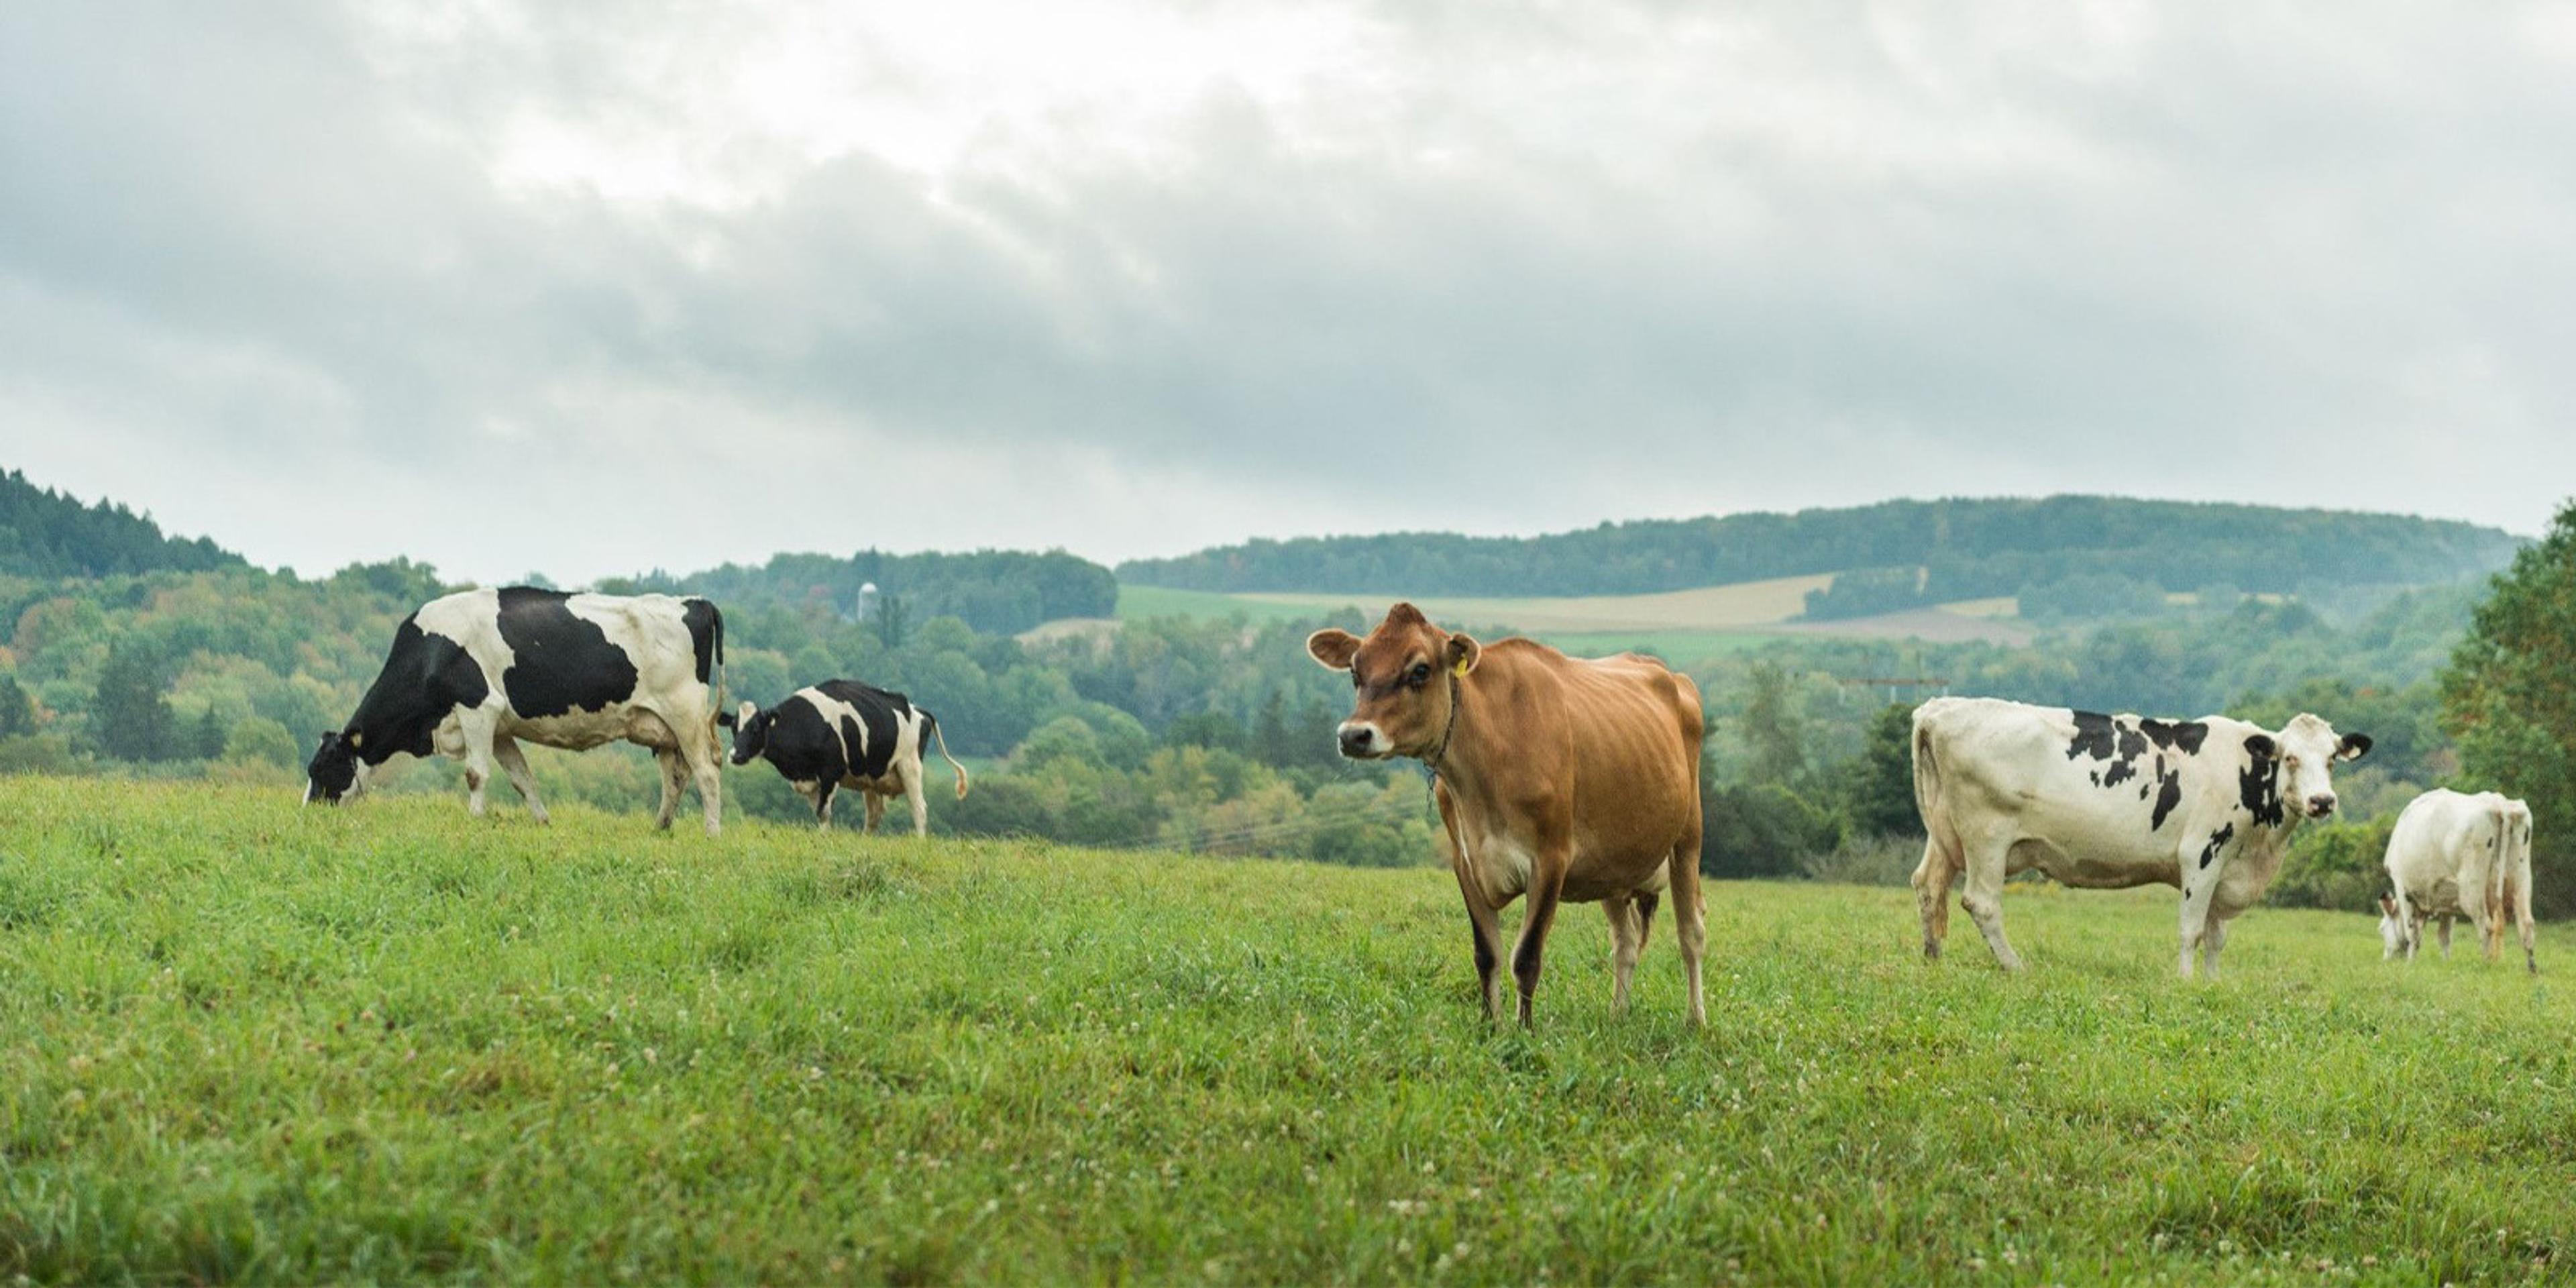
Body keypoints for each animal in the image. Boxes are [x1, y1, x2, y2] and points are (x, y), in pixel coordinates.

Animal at [304, 587, 726, 835]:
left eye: (322, 768)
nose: (308, 814)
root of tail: (694, 601)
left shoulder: (477, 706)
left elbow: (475, 774)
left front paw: (474, 819)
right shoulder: (500, 728)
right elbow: (522, 778)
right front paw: (542, 821)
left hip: (685, 714)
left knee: (706, 773)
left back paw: (712, 833)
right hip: (662, 727)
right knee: (675, 777)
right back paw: (660, 828)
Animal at [726, 680, 968, 839]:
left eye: (755, 728)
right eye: (733, 728)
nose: (735, 755)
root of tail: (916, 709)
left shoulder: (831, 772)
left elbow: (823, 811)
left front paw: (823, 839)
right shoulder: (811, 780)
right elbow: (819, 812)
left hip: (909, 765)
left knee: (919, 807)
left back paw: (919, 841)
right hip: (872, 778)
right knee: (874, 816)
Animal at [1308, 600, 1710, 1025]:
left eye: (1420, 669)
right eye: (1356, 671)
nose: (1354, 735)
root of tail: (1668, 673)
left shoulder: (1551, 859)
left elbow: (1526, 958)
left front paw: (1525, 1030)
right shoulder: (1466, 861)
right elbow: (1487, 955)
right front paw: (1489, 1025)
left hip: (1688, 838)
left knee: (1691, 932)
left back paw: (1696, 1020)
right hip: (1613, 864)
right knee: (1626, 941)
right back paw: (1618, 1014)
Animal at [1916, 695, 2369, 973]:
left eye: (2332, 758)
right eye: (2289, 758)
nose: (2322, 801)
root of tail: (1941, 709)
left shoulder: (2226, 870)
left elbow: (2217, 936)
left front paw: (2213, 983)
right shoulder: (2202, 854)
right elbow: (2193, 930)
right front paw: (2186, 982)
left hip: (1944, 835)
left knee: (1928, 885)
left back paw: (1934, 959)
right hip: (1987, 837)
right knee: (1982, 903)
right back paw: (2015, 966)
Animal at [2369, 783, 2534, 973]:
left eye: (2381, 929)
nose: (2386, 960)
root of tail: (2500, 804)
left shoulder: (2403, 887)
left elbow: (2413, 934)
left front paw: (2410, 965)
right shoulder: (2447, 901)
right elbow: (2444, 937)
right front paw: (2446, 964)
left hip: (2472, 888)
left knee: (2486, 927)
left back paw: (2486, 965)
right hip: (2521, 877)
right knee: (2526, 923)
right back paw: (2532, 971)